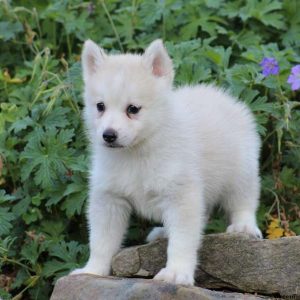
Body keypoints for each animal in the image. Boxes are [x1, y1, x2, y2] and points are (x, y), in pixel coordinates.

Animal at [71, 38, 262, 284]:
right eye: (100, 106)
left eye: (133, 109)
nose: (108, 135)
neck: (137, 153)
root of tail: (222, 96)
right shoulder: (109, 199)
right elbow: (101, 241)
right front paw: (92, 270)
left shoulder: (181, 195)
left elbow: (182, 240)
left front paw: (176, 273)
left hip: (241, 171)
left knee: (243, 200)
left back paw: (244, 227)